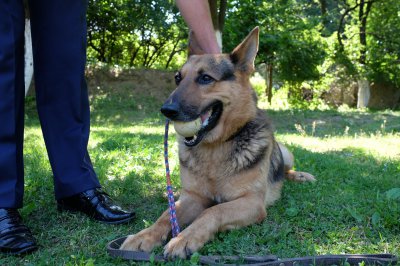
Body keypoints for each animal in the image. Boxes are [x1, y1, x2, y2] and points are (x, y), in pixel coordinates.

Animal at [120, 26, 314, 258]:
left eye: (205, 78)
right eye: (178, 78)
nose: (166, 110)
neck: (215, 147)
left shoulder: (252, 202)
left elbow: (213, 210)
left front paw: (184, 238)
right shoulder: (191, 197)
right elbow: (166, 215)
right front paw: (145, 235)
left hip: (285, 152)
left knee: (285, 170)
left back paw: (300, 176)